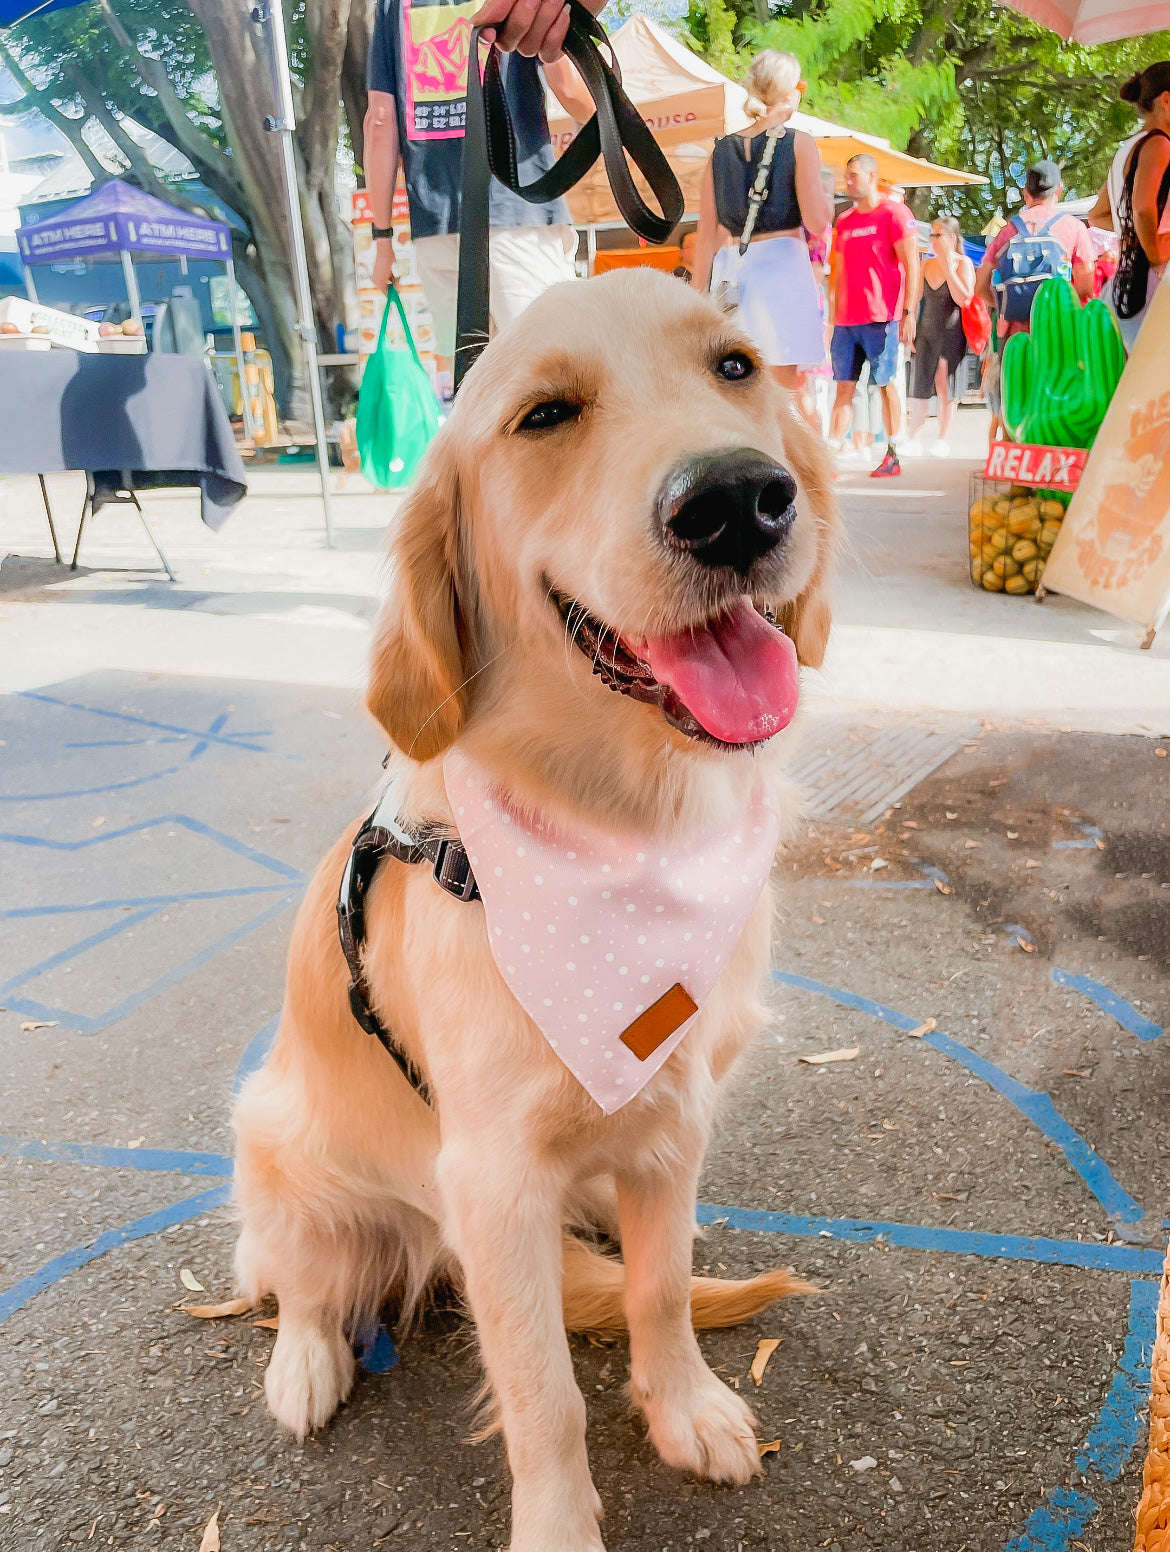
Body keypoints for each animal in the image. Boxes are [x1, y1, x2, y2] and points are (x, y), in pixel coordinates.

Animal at [232, 270, 831, 1552]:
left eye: (737, 368)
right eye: (545, 415)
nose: (738, 504)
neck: (626, 830)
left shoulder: (675, 1115)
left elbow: (662, 1282)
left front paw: (685, 1405)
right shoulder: (494, 1179)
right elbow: (544, 1391)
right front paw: (560, 1523)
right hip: (276, 1137)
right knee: (299, 1275)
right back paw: (304, 1362)